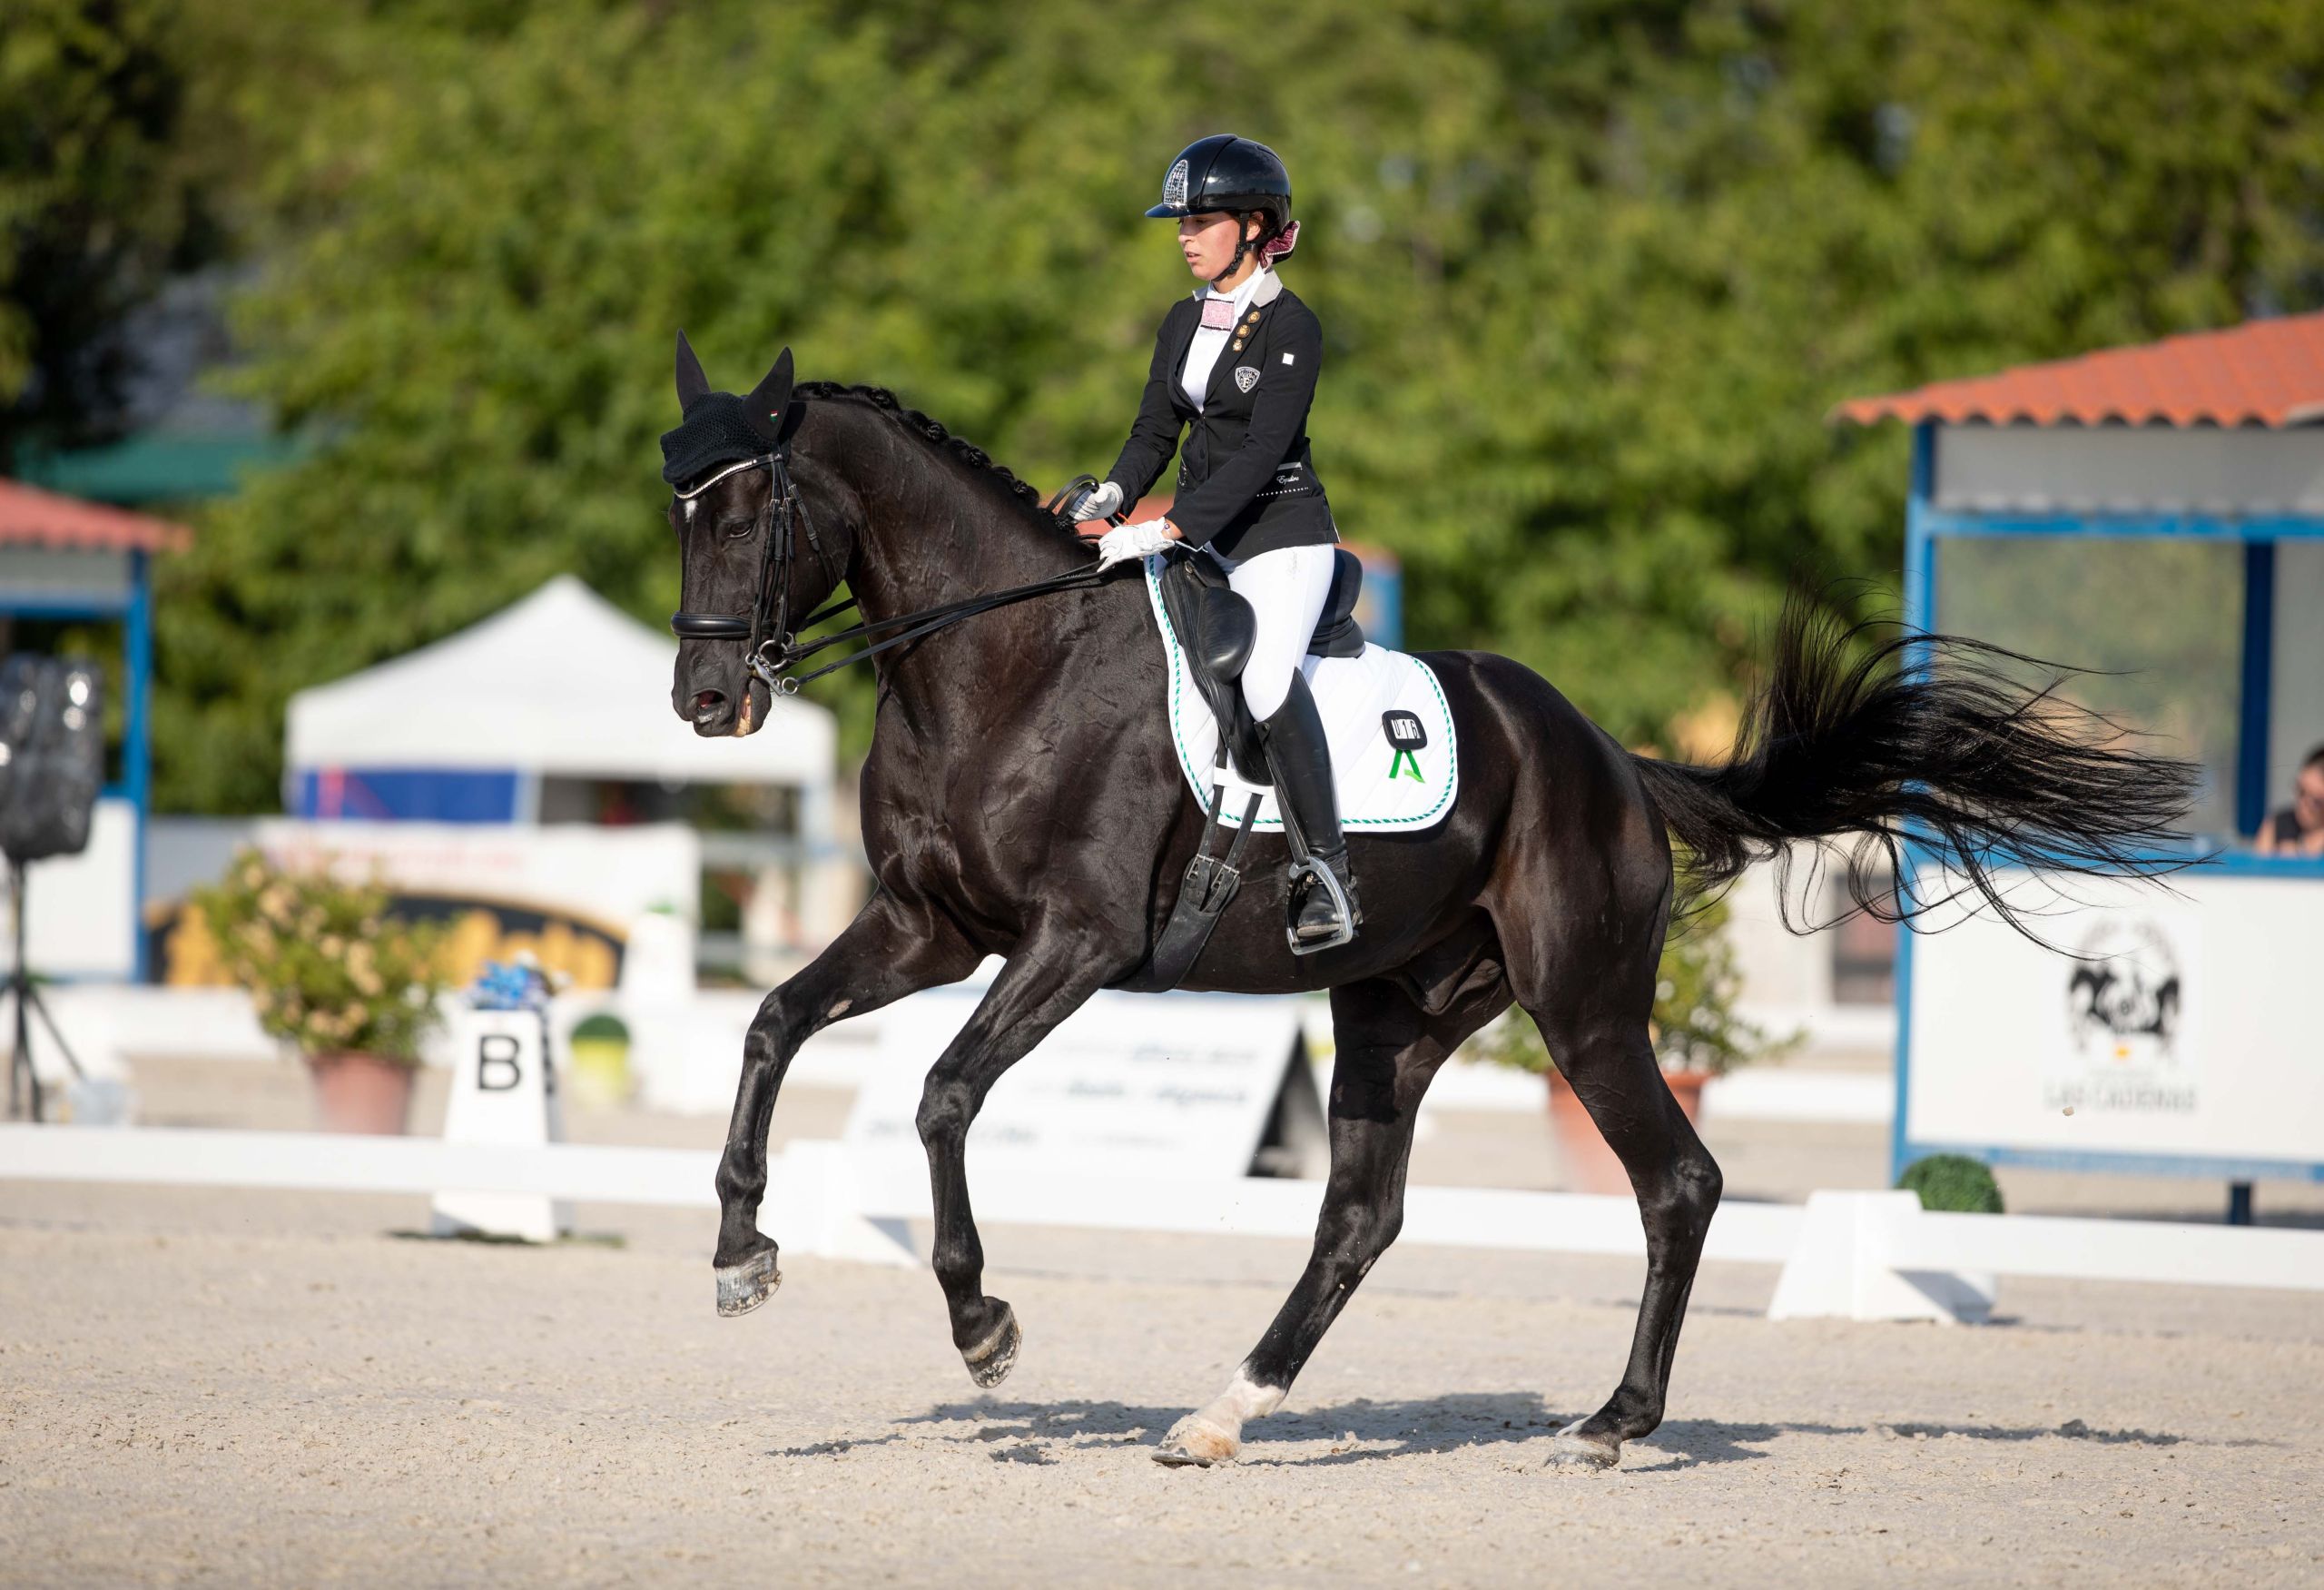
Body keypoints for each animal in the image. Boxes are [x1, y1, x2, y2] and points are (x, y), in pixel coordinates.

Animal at [660, 341, 2193, 1468]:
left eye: (748, 513)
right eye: (681, 514)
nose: (708, 701)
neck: (1000, 663)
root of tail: (1612, 756)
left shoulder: (1072, 941)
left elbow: (940, 1094)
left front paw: (982, 1321)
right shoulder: (930, 926)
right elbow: (771, 1024)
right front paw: (740, 1255)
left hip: (1581, 1004)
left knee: (1677, 1182)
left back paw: (1612, 1421)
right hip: (1394, 1008)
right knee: (1360, 1216)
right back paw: (1221, 1412)